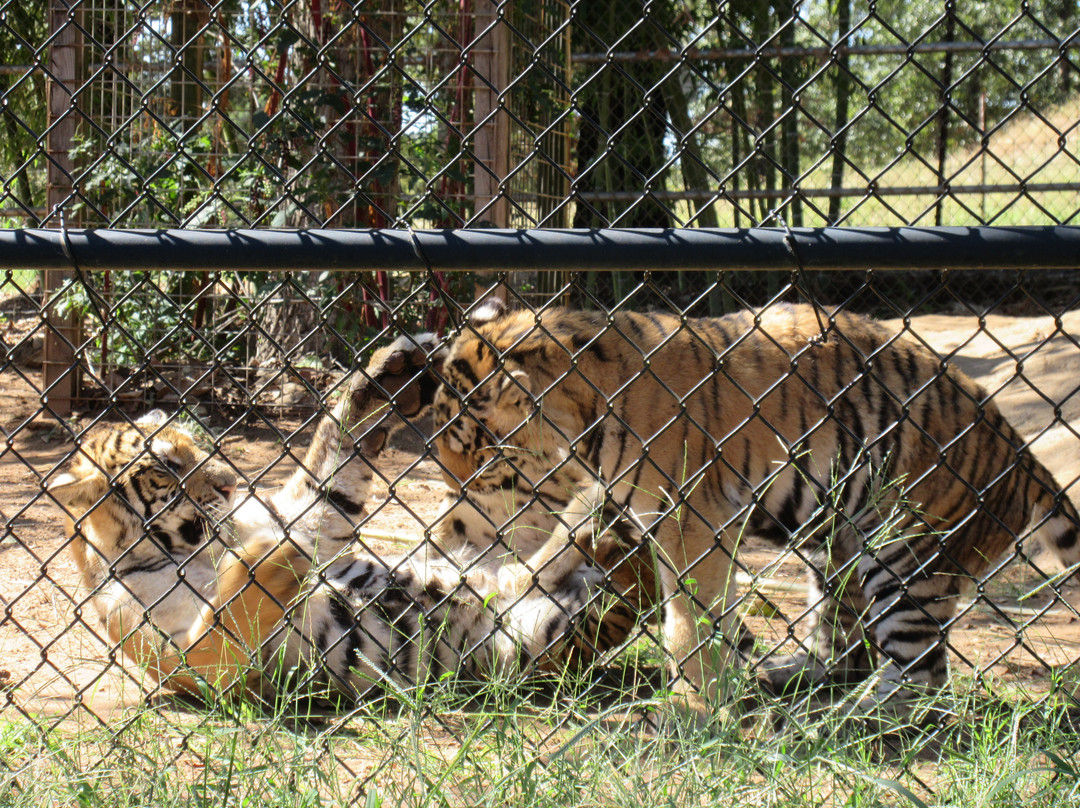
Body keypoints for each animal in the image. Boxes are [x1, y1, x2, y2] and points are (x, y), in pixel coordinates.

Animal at [46, 334, 652, 699]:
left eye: (194, 447)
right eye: (167, 467)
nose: (229, 483)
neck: (189, 550)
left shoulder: (303, 515)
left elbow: (330, 464)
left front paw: (383, 378)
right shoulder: (197, 667)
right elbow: (233, 614)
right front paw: (272, 560)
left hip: (494, 513)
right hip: (540, 631)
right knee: (608, 583)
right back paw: (610, 523)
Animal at [429, 300, 1080, 717]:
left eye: (477, 454)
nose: (455, 489)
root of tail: (1021, 453)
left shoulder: (689, 521)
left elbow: (687, 621)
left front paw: (692, 705)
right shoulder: (614, 495)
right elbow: (563, 537)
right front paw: (509, 573)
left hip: (905, 553)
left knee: (922, 678)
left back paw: (851, 717)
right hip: (834, 545)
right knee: (844, 644)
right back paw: (792, 674)